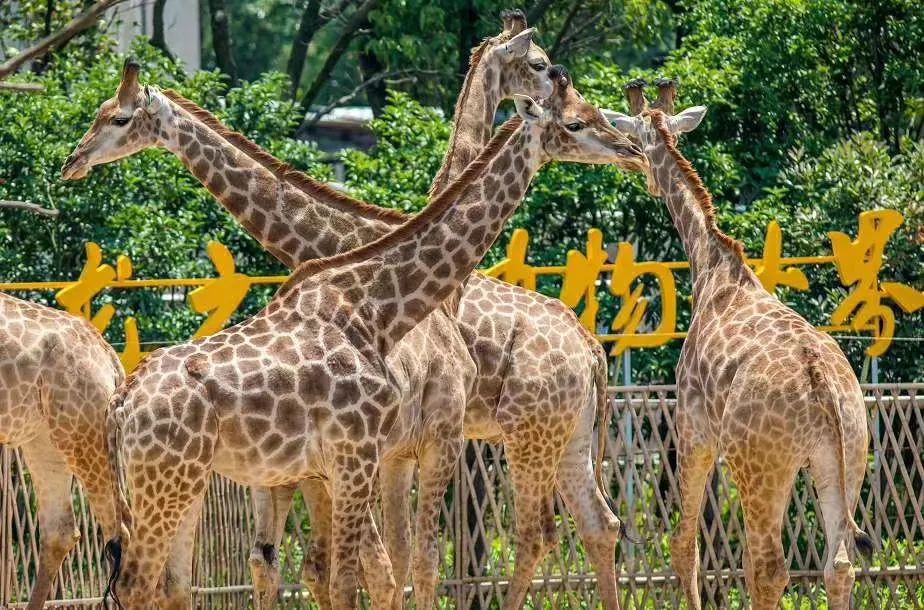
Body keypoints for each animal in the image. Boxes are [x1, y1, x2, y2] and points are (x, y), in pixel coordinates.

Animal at [608, 78, 872, 604]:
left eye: (635, 139)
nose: (641, 172)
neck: (711, 267)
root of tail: (823, 387)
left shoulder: (691, 425)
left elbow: (684, 545)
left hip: (761, 468)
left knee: (768, 567)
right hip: (846, 455)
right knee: (838, 564)